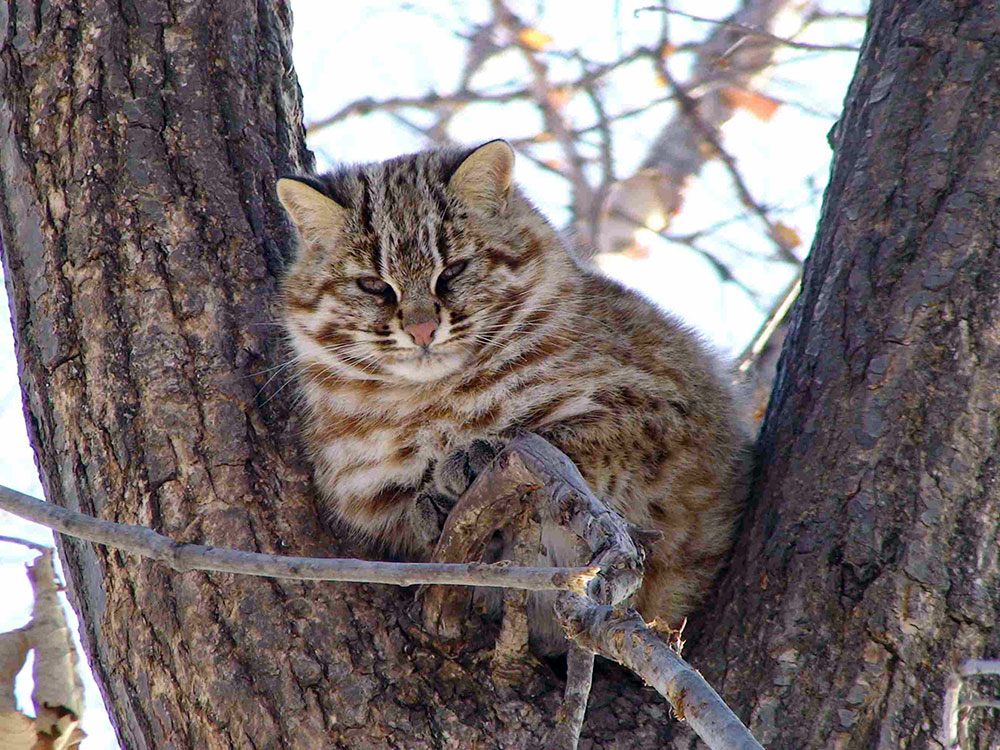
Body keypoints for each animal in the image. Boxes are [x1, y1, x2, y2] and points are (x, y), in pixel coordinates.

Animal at [278, 140, 748, 652]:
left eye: (453, 270)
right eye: (373, 285)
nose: (422, 329)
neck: (432, 397)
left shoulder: (667, 415)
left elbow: (567, 438)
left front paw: (477, 453)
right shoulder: (366, 496)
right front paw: (431, 502)